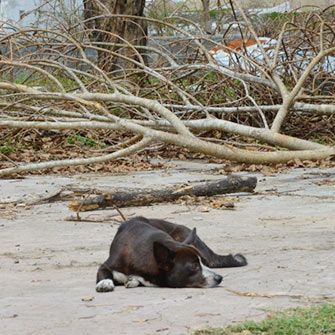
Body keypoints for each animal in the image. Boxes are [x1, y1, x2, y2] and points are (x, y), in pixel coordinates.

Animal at [96, 217, 248, 292]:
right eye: (194, 266)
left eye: (203, 263)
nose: (219, 278)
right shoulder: (108, 265)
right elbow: (103, 272)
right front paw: (105, 283)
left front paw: (133, 279)